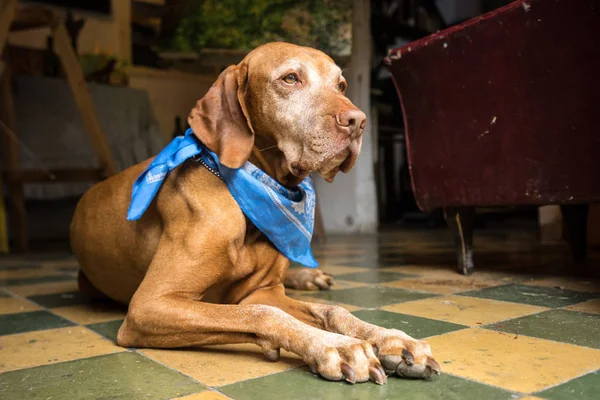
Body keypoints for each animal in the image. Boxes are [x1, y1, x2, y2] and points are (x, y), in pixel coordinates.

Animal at [70, 41, 438, 384]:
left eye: (342, 85)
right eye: (290, 78)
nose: (358, 121)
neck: (249, 197)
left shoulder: (264, 291)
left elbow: (333, 310)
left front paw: (392, 338)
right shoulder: (149, 305)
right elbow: (263, 314)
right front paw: (335, 345)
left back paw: (309, 276)